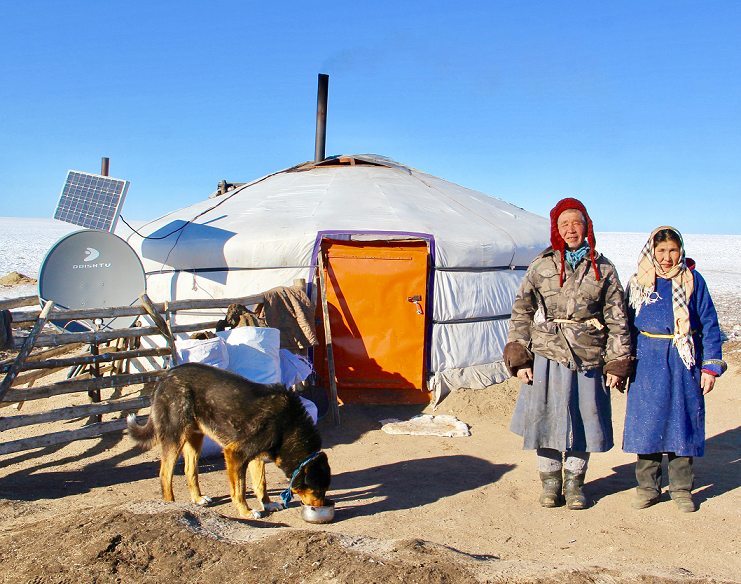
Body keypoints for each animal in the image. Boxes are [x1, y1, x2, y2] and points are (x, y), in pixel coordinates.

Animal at [127, 362, 330, 516]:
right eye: (318, 491)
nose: (320, 508)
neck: (287, 423)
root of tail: (165, 375)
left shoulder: (256, 457)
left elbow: (260, 484)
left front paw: (267, 504)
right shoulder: (235, 454)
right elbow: (239, 489)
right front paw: (246, 512)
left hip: (195, 438)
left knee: (189, 470)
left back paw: (198, 499)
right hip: (175, 437)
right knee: (165, 474)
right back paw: (171, 506)